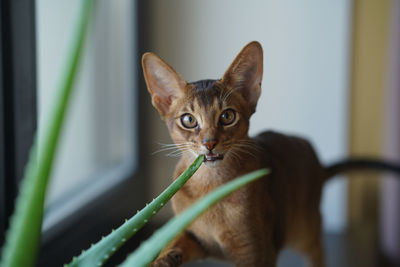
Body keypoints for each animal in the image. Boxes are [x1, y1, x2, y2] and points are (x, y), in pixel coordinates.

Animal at [141, 41, 400, 267]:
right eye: (188, 120)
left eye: (227, 116)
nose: (210, 143)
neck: (210, 187)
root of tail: (317, 161)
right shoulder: (196, 239)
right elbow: (174, 245)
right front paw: (161, 260)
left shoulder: (256, 253)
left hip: (302, 231)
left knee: (318, 252)